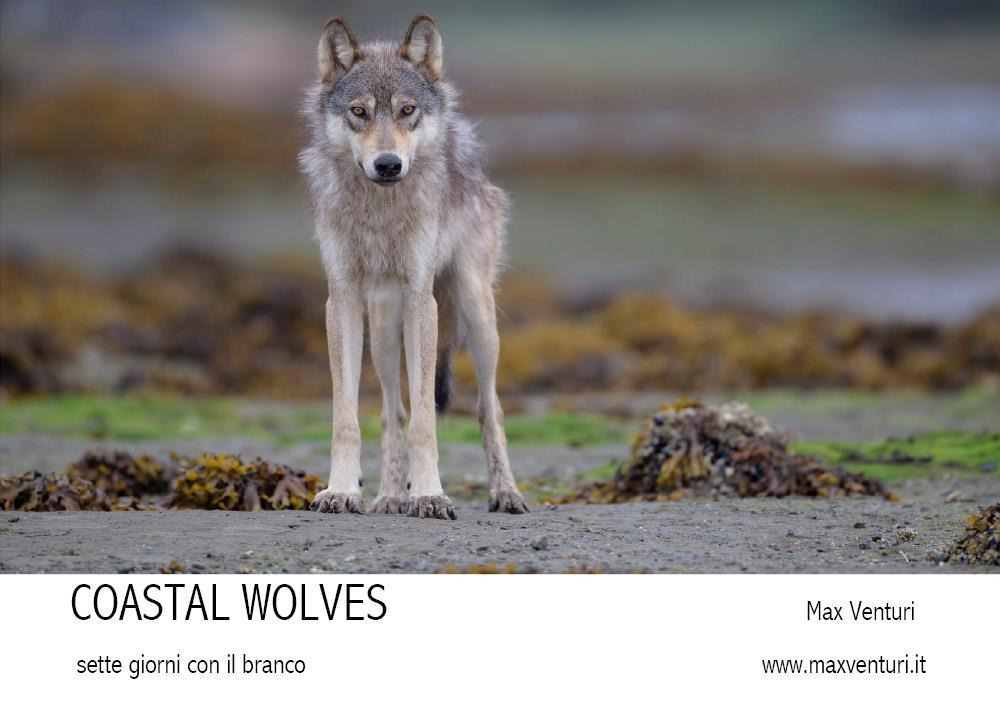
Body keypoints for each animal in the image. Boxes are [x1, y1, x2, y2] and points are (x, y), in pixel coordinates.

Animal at [299, 15, 528, 519]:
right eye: (359, 112)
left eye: (407, 110)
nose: (388, 164)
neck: (380, 212)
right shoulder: (341, 299)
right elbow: (349, 417)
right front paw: (341, 491)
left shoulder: (424, 300)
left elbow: (426, 419)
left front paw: (428, 494)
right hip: (385, 326)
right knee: (391, 410)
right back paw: (387, 497)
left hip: (476, 314)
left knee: (490, 409)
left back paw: (506, 493)